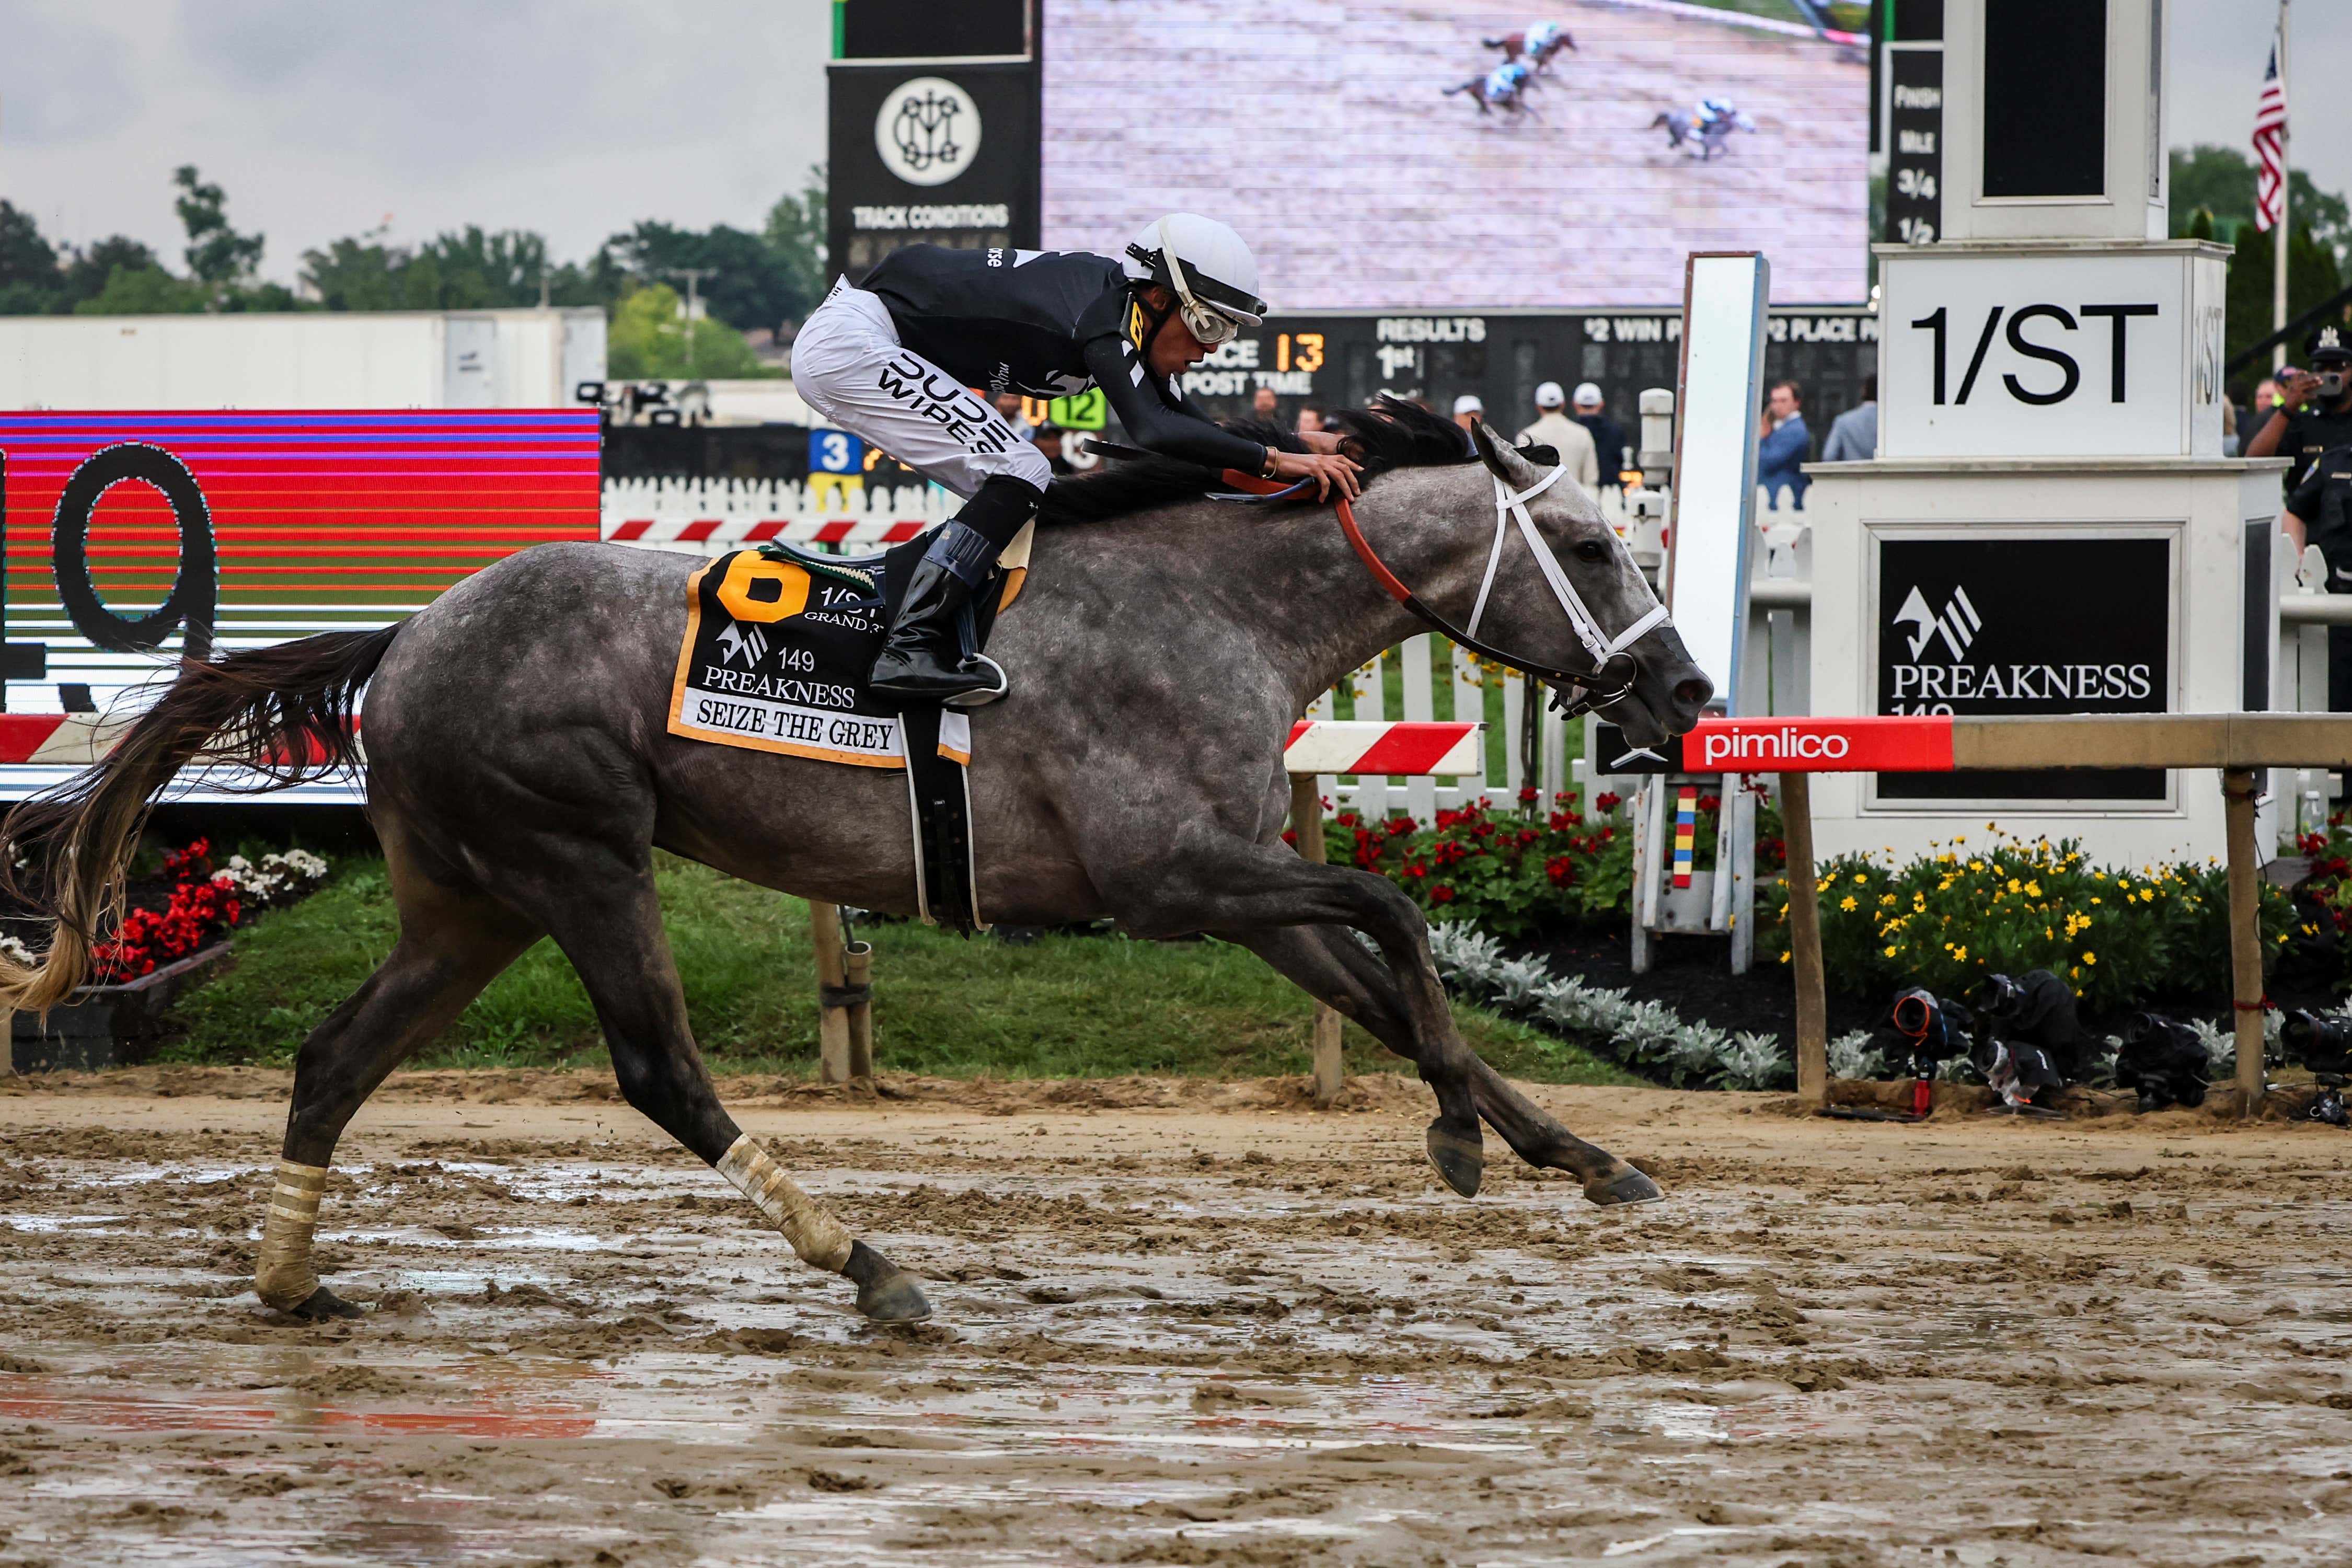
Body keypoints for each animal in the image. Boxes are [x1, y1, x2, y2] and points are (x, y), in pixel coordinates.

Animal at [0, 400, 1708, 1325]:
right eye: (1598, 548)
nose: (1686, 692)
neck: (1214, 605)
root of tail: (410, 632)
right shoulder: (1174, 878)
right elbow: (1397, 915)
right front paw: (1464, 1139)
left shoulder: (1231, 883)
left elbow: (1382, 987)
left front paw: (1572, 1150)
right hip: (581, 859)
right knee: (658, 1070)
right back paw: (866, 1262)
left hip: (470, 896)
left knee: (334, 1057)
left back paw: (290, 1279)